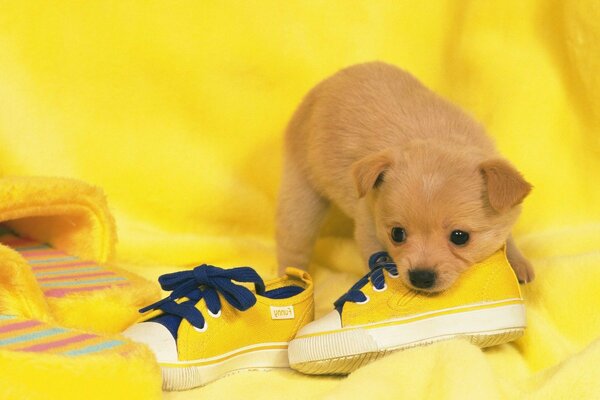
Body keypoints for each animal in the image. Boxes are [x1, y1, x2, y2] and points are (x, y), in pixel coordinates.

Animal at [276, 61, 536, 290]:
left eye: (459, 237)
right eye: (397, 234)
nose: (421, 277)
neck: (438, 137)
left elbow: (506, 236)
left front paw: (517, 263)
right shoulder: (369, 227)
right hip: (302, 193)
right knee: (293, 244)